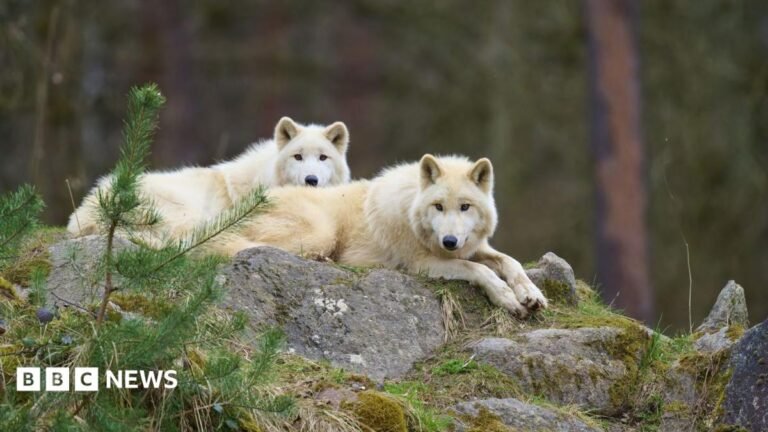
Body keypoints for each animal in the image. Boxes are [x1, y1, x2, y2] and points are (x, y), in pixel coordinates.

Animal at [210, 154, 548, 316]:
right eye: (438, 206)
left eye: (465, 207)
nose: (449, 241)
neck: (412, 208)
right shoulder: (421, 264)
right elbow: (478, 270)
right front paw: (507, 298)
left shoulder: (471, 247)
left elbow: (510, 262)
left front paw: (531, 293)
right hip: (320, 232)